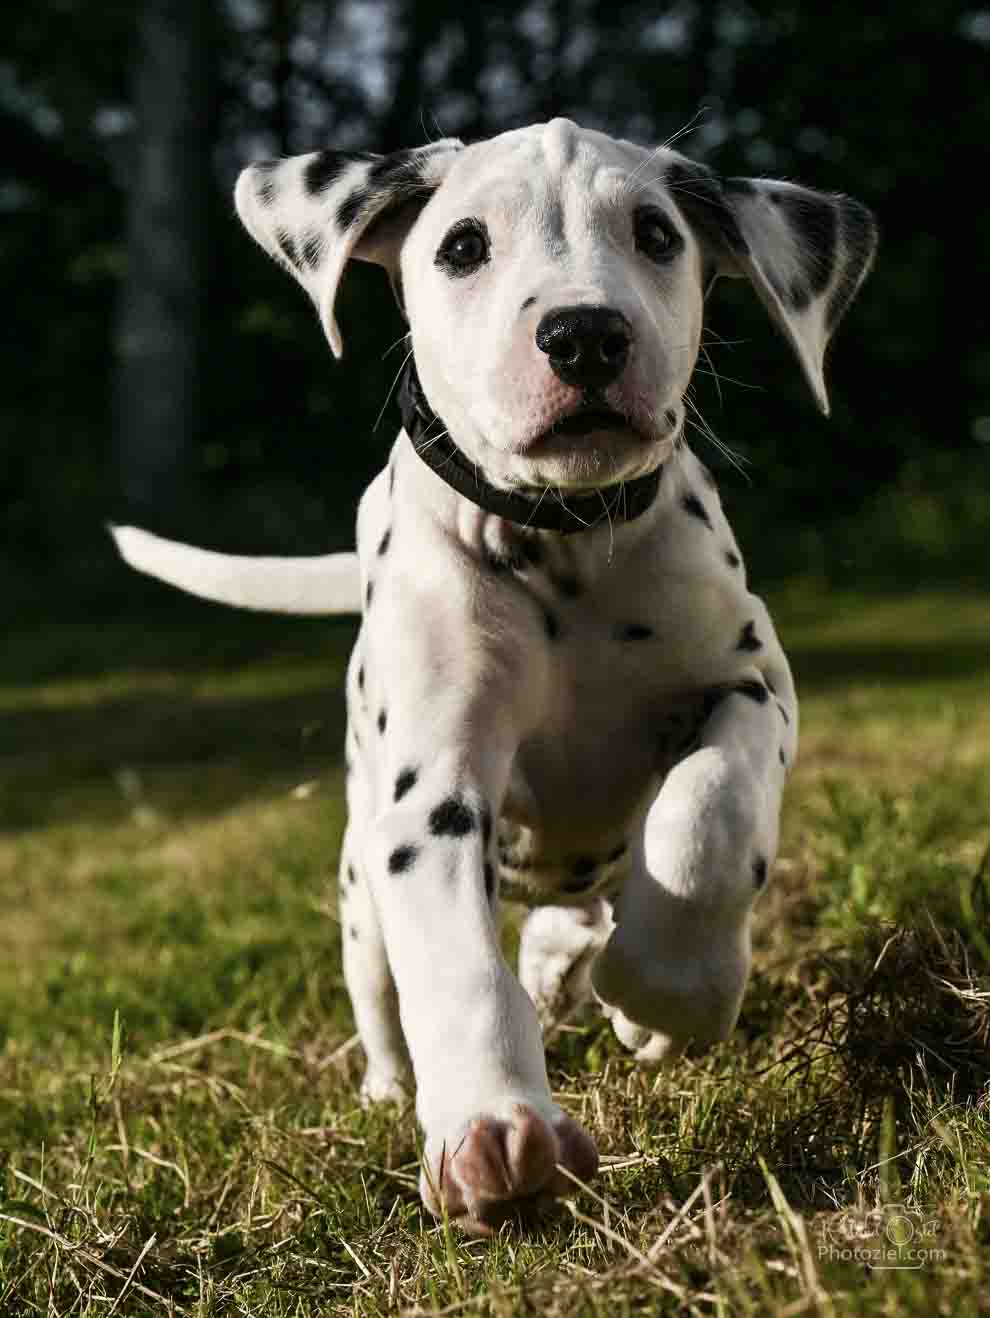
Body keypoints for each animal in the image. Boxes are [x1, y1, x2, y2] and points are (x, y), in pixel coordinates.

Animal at [114, 118, 875, 1228]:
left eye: (656, 234)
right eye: (464, 247)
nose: (584, 336)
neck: (563, 542)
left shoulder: (748, 684)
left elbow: (707, 818)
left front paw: (669, 991)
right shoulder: (434, 790)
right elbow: (457, 968)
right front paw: (489, 1126)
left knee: (589, 898)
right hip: (357, 894)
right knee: (384, 996)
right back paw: (391, 1088)